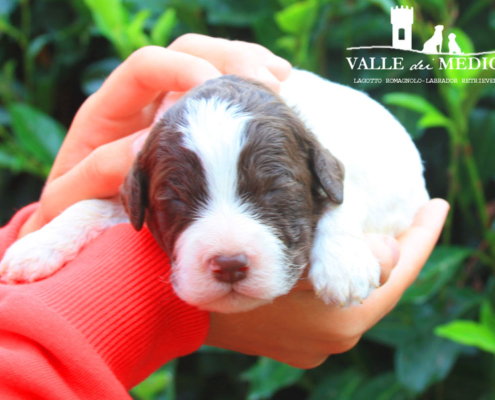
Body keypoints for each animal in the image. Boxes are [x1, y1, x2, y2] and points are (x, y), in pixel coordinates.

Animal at [0, 69, 430, 312]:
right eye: (175, 200)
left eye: (274, 191)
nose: (230, 264)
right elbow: (92, 205)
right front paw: (36, 246)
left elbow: (342, 198)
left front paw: (343, 265)